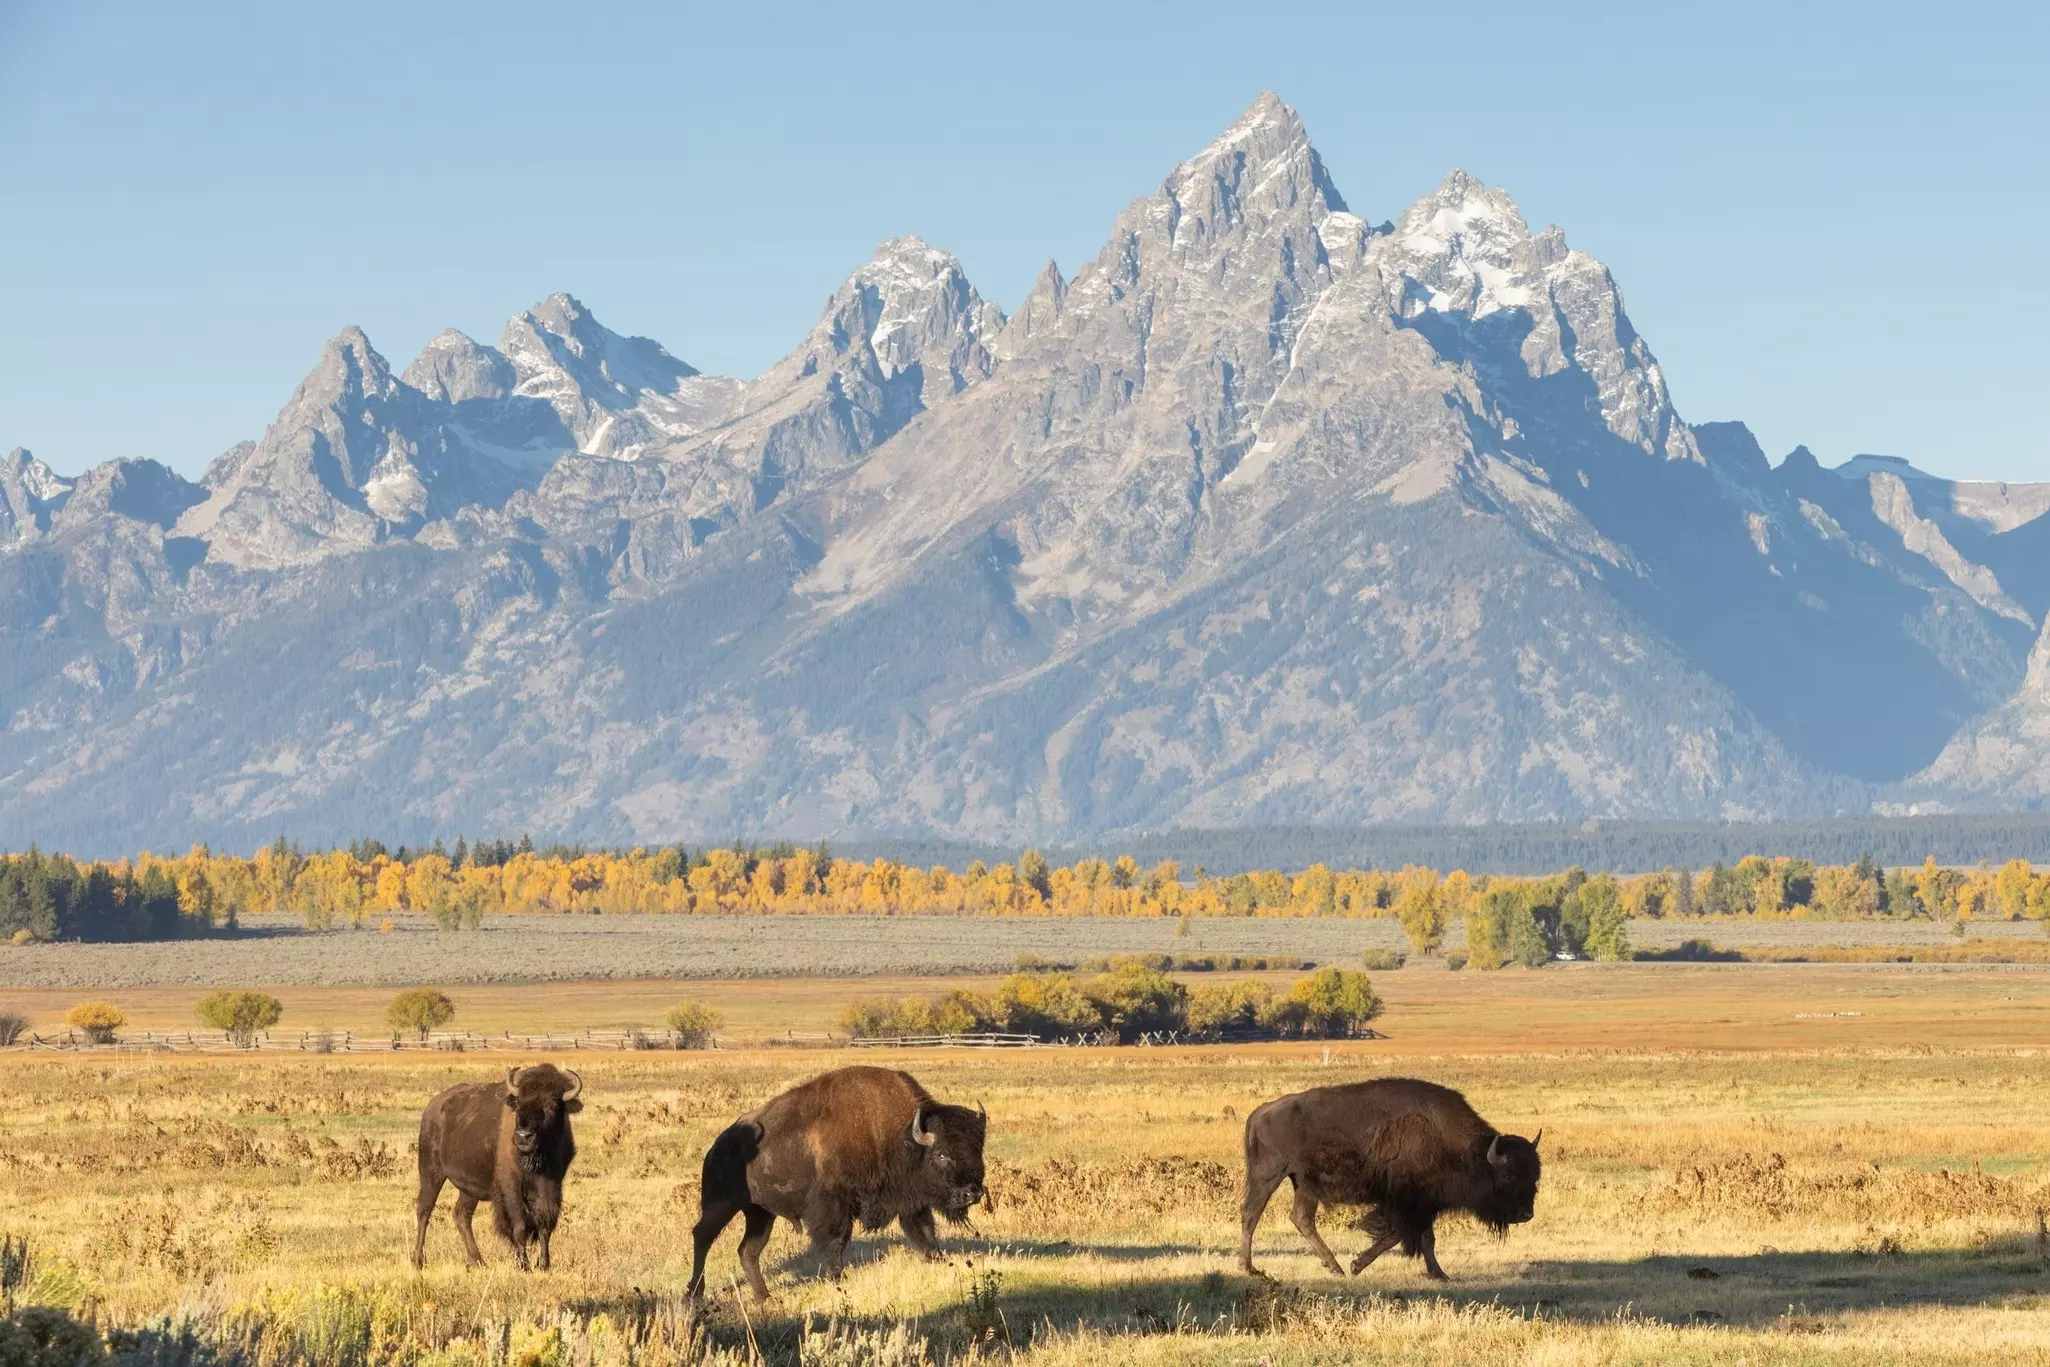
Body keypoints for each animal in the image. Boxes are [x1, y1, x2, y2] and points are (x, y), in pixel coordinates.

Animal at [412, 1063, 583, 1271]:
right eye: (519, 1105)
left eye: (552, 1106)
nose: (523, 1136)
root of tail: (431, 1108)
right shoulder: (511, 1187)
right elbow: (519, 1225)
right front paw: (523, 1265)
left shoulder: (552, 1184)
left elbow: (545, 1224)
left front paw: (544, 1264)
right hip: (430, 1172)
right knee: (424, 1209)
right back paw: (419, 1260)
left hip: (469, 1188)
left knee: (462, 1215)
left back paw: (478, 1261)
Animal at [688, 1065, 987, 1299]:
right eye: (941, 1154)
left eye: (977, 1150)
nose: (972, 1193)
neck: (898, 1137)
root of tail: (716, 1147)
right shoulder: (834, 1204)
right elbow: (836, 1239)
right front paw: (837, 1277)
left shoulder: (910, 1200)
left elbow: (925, 1230)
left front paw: (939, 1259)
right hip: (721, 1205)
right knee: (702, 1236)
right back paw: (695, 1292)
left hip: (760, 1214)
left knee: (748, 1251)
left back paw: (765, 1297)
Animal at [1239, 1076, 1540, 1280]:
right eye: (1508, 1176)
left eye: (1535, 1176)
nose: (1526, 1215)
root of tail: (1260, 1112)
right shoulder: (1404, 1203)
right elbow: (1398, 1234)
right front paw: (1357, 1265)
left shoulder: (1424, 1203)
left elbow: (1426, 1239)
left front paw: (1439, 1274)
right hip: (1268, 1175)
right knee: (1251, 1215)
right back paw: (1249, 1268)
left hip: (1303, 1184)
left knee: (1302, 1219)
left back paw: (1334, 1267)